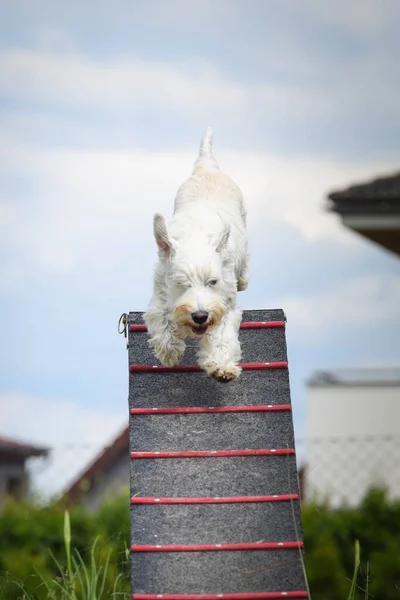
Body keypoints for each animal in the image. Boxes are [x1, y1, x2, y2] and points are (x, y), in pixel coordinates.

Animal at [144, 127, 250, 384]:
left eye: (212, 282)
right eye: (181, 283)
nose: (200, 316)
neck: (196, 238)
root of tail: (207, 166)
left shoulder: (226, 305)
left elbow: (221, 337)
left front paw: (222, 367)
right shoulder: (160, 292)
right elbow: (161, 318)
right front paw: (170, 350)